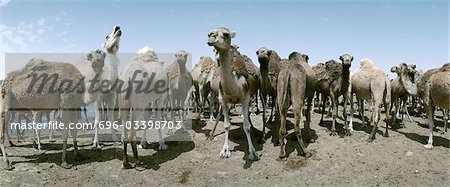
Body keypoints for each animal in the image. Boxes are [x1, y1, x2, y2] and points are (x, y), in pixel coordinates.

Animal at [205, 27, 260, 160]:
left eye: (226, 34)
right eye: (211, 32)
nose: (210, 35)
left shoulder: (245, 98)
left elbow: (246, 126)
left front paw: (252, 152)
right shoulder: (223, 100)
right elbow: (226, 125)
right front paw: (225, 150)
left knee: (248, 118)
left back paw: (256, 133)